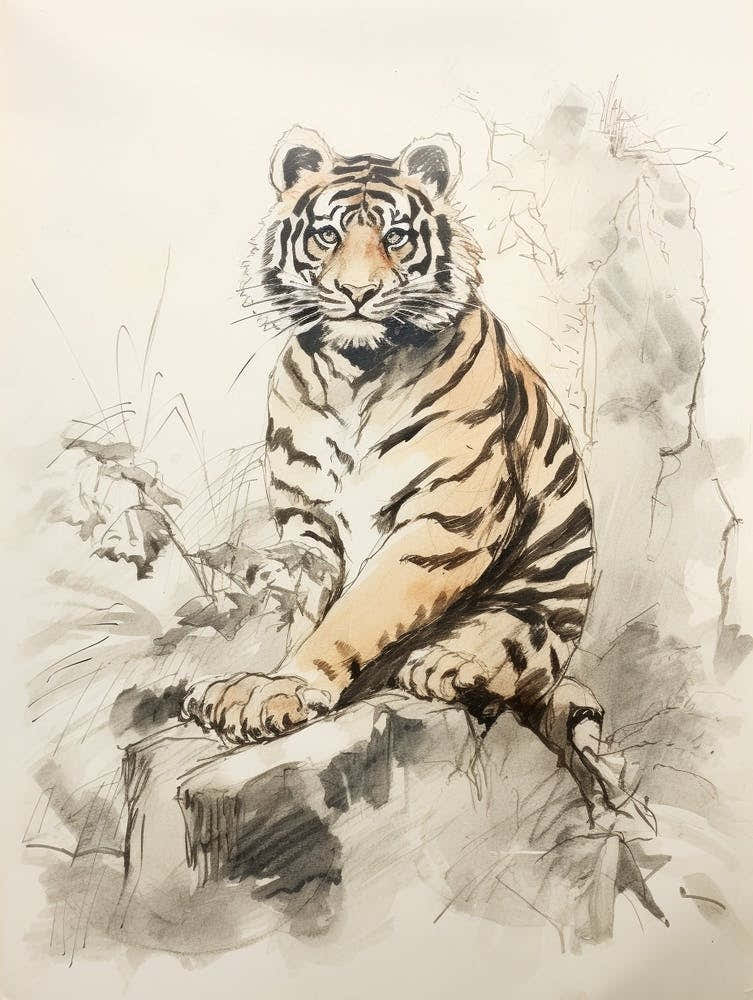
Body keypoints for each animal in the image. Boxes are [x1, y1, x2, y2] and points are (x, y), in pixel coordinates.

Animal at [181, 126, 655, 827]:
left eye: (396, 236)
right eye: (327, 235)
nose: (357, 293)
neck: (353, 373)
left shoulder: (446, 518)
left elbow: (359, 611)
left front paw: (286, 687)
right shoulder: (308, 526)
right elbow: (308, 610)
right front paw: (261, 688)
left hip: (537, 620)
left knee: (513, 665)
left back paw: (444, 663)